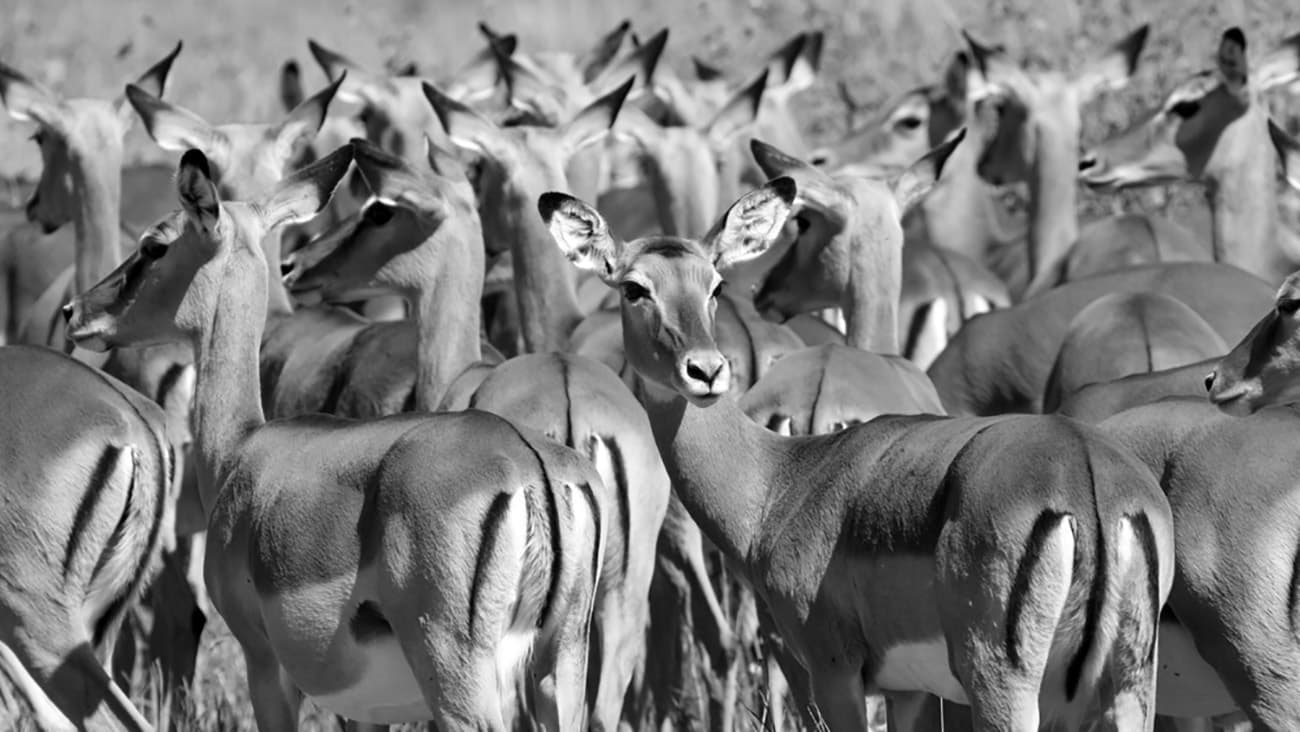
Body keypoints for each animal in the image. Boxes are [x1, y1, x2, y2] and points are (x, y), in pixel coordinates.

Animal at [66, 144, 607, 730]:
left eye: (154, 245)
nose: (77, 312)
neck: (242, 451)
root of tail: (532, 469)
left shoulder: (265, 667)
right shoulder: (370, 706)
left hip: (459, 680)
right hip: (560, 668)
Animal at [541, 177, 1175, 731]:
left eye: (714, 285)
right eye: (634, 287)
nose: (706, 371)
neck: (779, 483)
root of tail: (1088, 477)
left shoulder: (833, 672)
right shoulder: (907, 691)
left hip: (1004, 689)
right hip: (1125, 691)